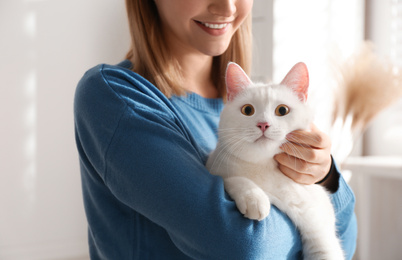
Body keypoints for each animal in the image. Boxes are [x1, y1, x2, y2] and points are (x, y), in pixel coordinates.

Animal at [207, 62, 346, 260]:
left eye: (282, 110)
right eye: (247, 110)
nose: (263, 124)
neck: (264, 167)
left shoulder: (319, 229)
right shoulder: (214, 166)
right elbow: (232, 179)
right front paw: (254, 198)